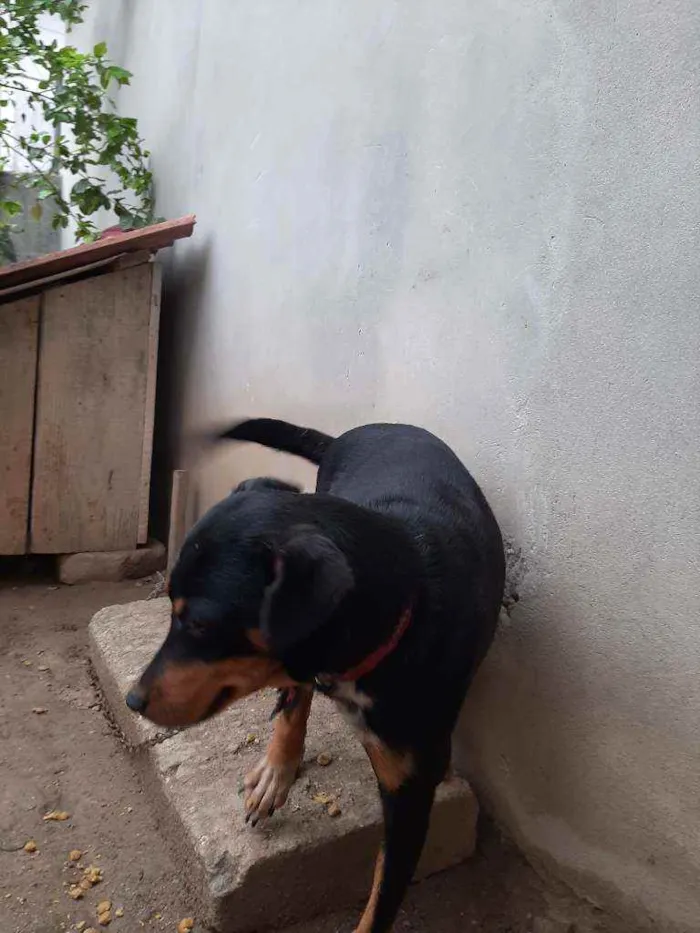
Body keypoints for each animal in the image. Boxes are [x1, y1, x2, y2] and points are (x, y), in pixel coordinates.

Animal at [126, 420, 504, 932]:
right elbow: (291, 703)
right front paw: (276, 770)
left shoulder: (407, 794)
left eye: (201, 624)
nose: (133, 700)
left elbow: (380, 903)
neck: (407, 603)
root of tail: (367, 428)